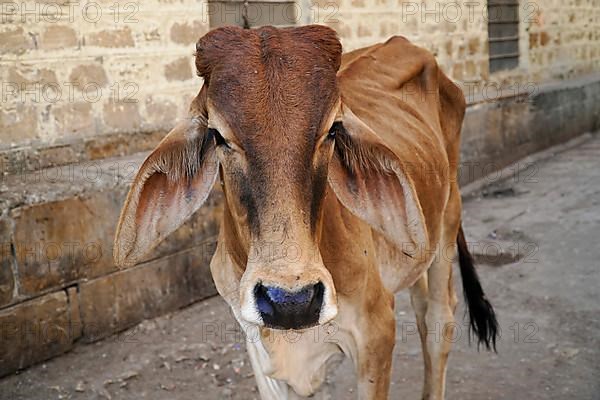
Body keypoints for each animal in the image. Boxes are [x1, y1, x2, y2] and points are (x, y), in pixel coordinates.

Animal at [112, 25, 496, 400]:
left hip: (448, 218)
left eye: (332, 130)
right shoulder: (258, 346)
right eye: (218, 136)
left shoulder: (375, 334)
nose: (290, 301)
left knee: (438, 321)